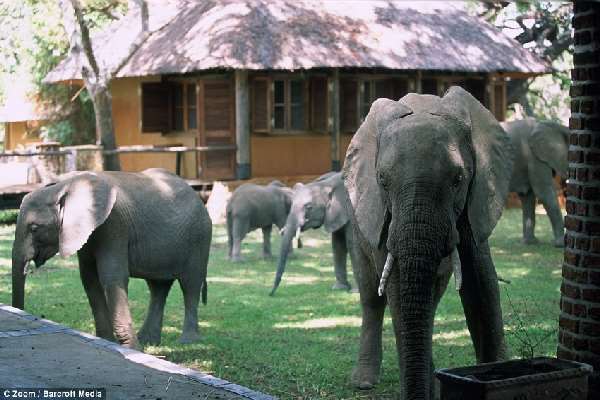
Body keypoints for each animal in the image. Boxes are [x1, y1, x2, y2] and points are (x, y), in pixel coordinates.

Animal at [9, 169, 213, 346]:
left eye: (34, 228)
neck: (65, 185)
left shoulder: (114, 225)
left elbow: (112, 277)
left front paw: (132, 349)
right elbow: (89, 279)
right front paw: (108, 341)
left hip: (199, 237)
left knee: (190, 285)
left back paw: (187, 341)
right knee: (158, 288)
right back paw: (148, 341)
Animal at [342, 86, 510, 398]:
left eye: (458, 179)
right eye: (382, 180)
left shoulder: (476, 199)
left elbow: (481, 285)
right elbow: (397, 289)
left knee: (430, 301)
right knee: (372, 297)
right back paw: (363, 381)